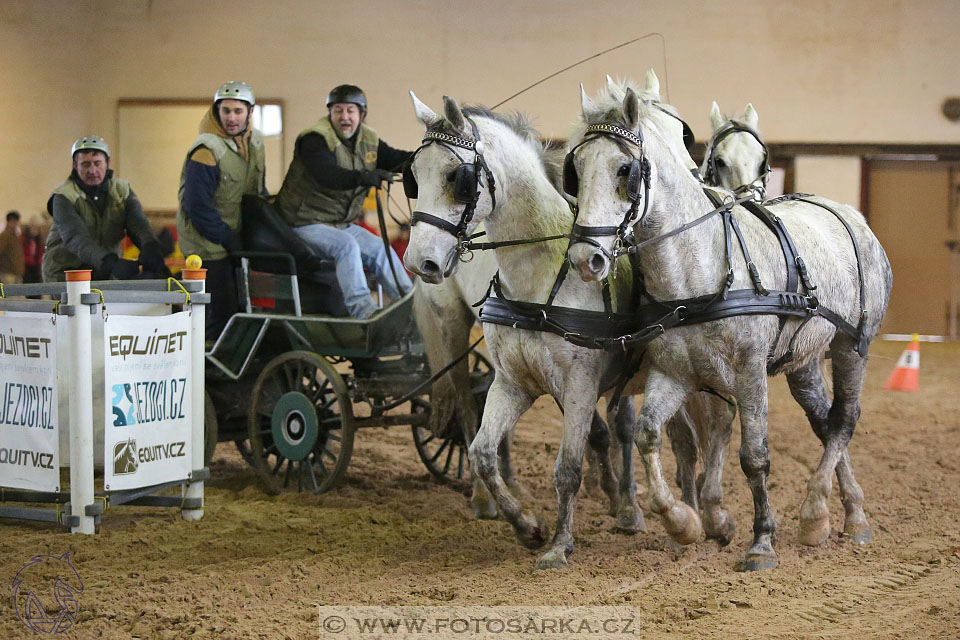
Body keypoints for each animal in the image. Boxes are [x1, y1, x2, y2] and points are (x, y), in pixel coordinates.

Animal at [404, 89, 736, 568]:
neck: (540, 278)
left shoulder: (580, 384)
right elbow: (483, 452)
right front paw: (528, 527)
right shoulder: (512, 383)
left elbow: (568, 468)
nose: (420, 261)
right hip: (450, 330)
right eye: (413, 175)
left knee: (696, 438)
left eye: (457, 176)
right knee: (468, 414)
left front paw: (561, 544)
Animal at [564, 85, 892, 568]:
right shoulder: (675, 373)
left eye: (626, 169)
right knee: (825, 422)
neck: (694, 272)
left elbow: (754, 456)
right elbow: (648, 435)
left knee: (846, 418)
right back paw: (845, 514)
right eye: (576, 170)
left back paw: (820, 512)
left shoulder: (749, 371)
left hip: (852, 345)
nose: (586, 258)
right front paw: (683, 522)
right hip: (804, 359)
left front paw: (761, 542)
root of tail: (853, 216)